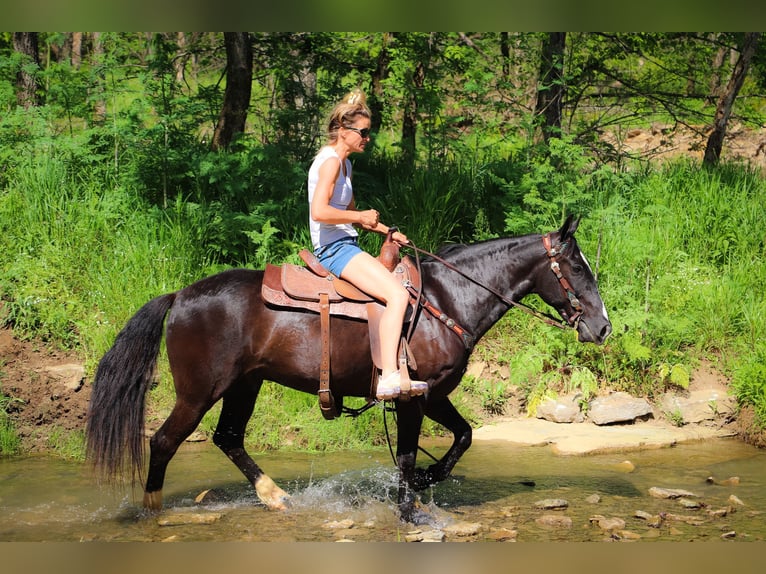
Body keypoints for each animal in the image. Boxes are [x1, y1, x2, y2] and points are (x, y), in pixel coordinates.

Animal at [85, 216, 612, 520]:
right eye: (578, 268)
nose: (603, 327)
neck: (447, 300)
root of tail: (180, 295)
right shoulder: (413, 396)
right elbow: (408, 454)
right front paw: (410, 508)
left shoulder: (434, 393)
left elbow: (463, 437)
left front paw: (425, 483)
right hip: (199, 391)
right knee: (163, 441)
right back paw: (152, 512)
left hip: (244, 385)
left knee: (228, 438)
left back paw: (275, 496)